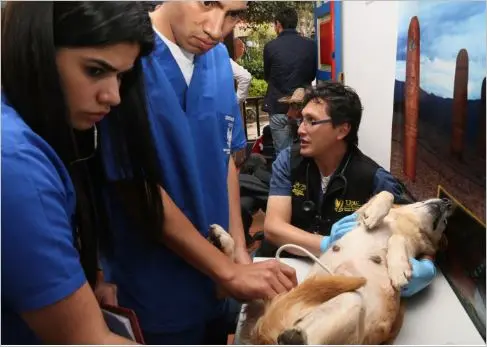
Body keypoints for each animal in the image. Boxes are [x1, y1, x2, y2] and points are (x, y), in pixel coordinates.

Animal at [210, 192, 454, 346]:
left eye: (444, 224)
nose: (447, 203)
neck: (404, 224)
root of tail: (264, 332)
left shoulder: (417, 249)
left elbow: (399, 240)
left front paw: (399, 267)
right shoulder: (359, 212)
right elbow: (386, 194)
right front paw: (376, 214)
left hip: (350, 300)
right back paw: (221, 240)